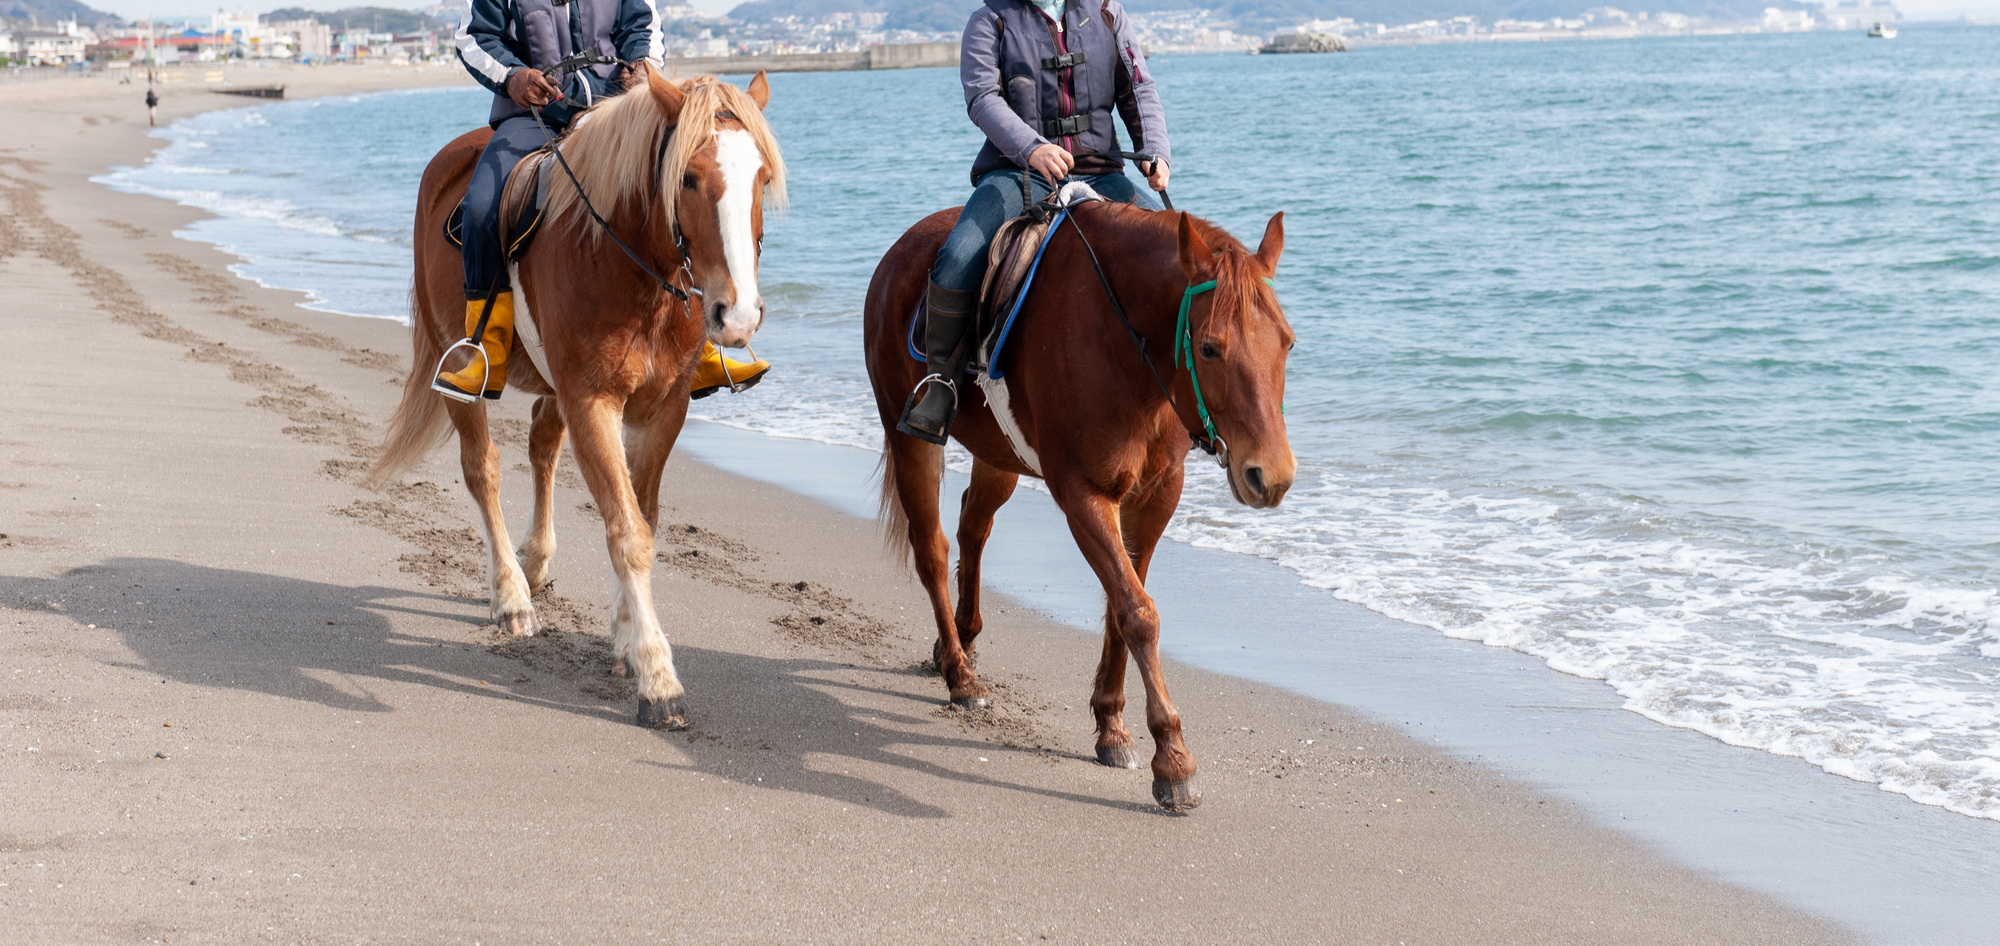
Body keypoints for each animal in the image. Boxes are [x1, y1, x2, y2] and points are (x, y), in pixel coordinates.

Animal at [372, 64, 784, 732]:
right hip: (458, 365)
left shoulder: (662, 410)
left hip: (554, 388)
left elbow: (643, 516)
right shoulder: (593, 401)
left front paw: (624, 638)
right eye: (689, 178)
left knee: (542, 446)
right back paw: (511, 595)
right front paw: (658, 677)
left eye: (763, 177)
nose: (738, 314)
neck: (628, 264)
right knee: (482, 470)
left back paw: (536, 562)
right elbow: (627, 532)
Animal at [860, 197, 1296, 804]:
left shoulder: (1156, 497)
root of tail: (898, 252)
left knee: (973, 526)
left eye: (1287, 342)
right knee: (932, 549)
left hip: (999, 456)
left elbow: (1122, 604)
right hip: (910, 440)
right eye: (1210, 348)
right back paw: (959, 675)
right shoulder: (1083, 495)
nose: (1270, 476)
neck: (1127, 347)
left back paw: (962, 644)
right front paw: (1173, 758)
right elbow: (1137, 611)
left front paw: (1112, 725)